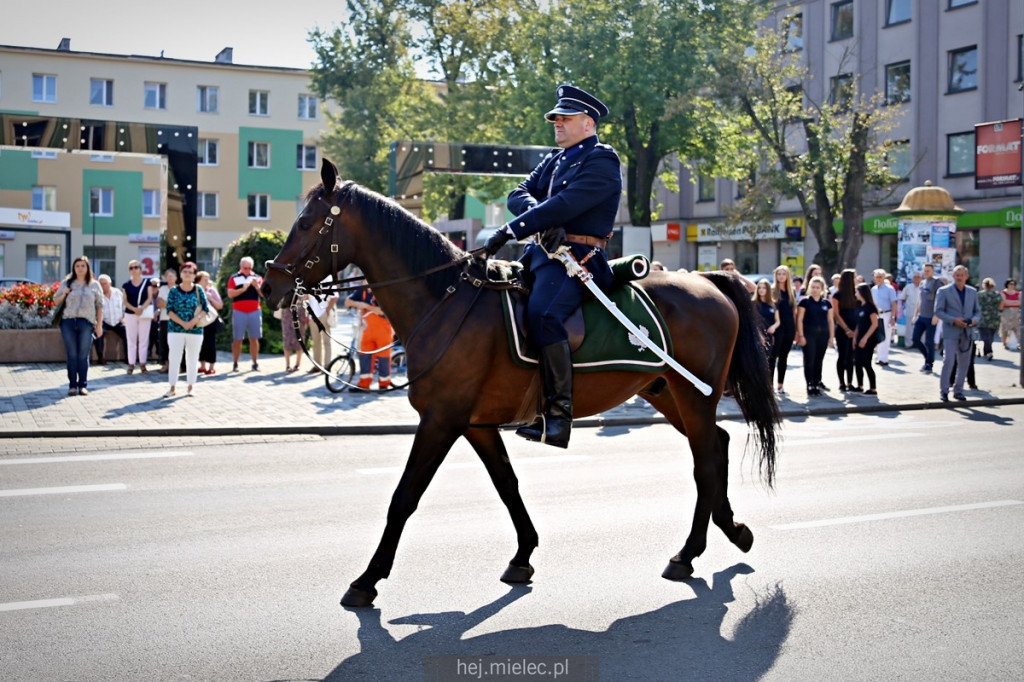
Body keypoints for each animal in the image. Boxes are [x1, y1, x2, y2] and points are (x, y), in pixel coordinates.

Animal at [262, 159, 774, 606]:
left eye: (306, 223)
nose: (269, 286)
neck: (445, 300)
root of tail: (708, 281)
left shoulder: (441, 421)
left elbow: (404, 497)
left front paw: (366, 580)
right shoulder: (476, 424)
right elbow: (507, 485)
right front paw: (523, 554)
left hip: (693, 394)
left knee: (706, 461)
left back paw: (688, 553)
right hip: (666, 393)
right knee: (718, 445)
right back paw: (732, 531)